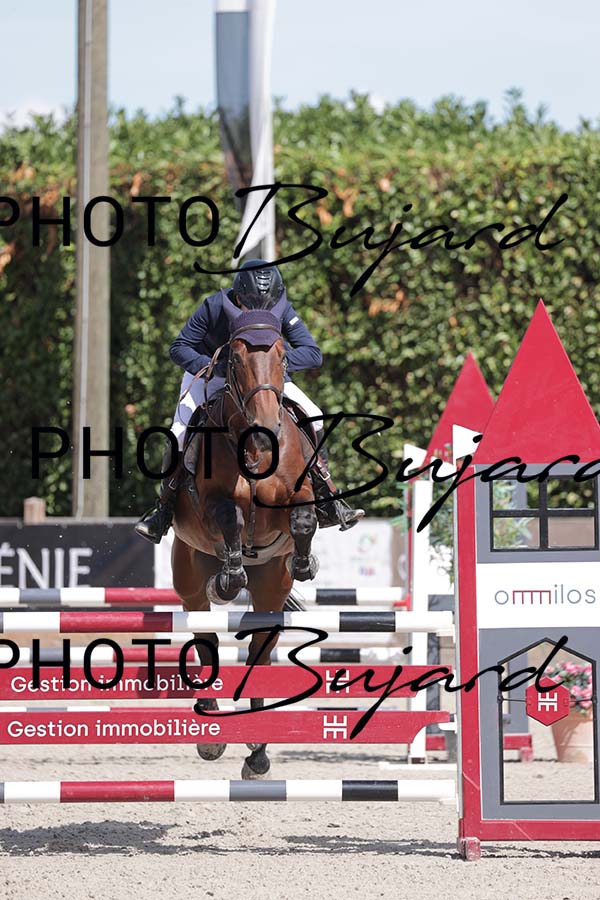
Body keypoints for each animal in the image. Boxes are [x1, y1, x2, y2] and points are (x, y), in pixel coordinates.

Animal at [171, 294, 320, 779]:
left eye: (284, 356)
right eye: (233, 359)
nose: (269, 426)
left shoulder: (298, 498)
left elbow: (304, 520)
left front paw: (306, 562)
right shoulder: (213, 505)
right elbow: (232, 520)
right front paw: (228, 577)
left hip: (270, 587)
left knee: (260, 649)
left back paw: (257, 750)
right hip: (188, 578)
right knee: (206, 641)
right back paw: (212, 734)